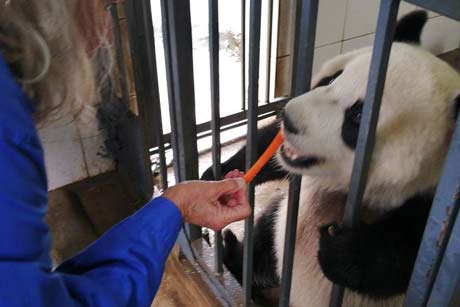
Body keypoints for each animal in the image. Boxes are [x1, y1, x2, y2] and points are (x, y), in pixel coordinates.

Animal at [201, 10, 460, 306]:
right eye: (332, 79)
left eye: (358, 116)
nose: (288, 119)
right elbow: (267, 149)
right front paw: (219, 173)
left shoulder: (437, 208)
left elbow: (408, 260)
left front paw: (339, 247)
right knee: (265, 241)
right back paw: (232, 254)